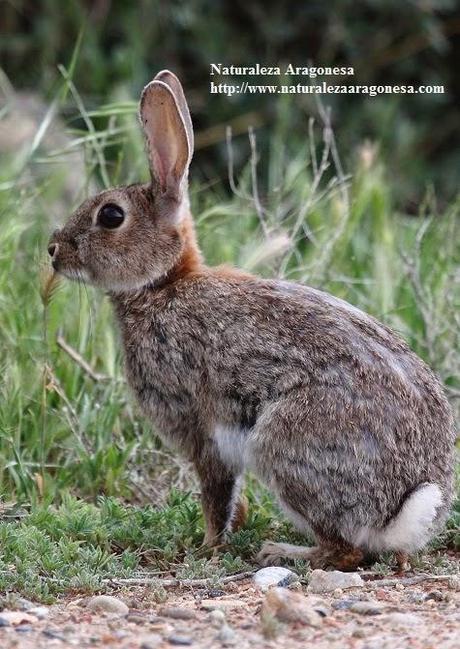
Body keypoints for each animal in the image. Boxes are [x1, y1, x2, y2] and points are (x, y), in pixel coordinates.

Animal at [48, 68, 458, 568]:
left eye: (111, 216)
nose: (53, 250)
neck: (163, 285)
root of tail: (399, 512)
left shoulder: (199, 428)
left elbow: (215, 491)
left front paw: (206, 546)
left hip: (285, 443)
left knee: (346, 550)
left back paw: (283, 550)